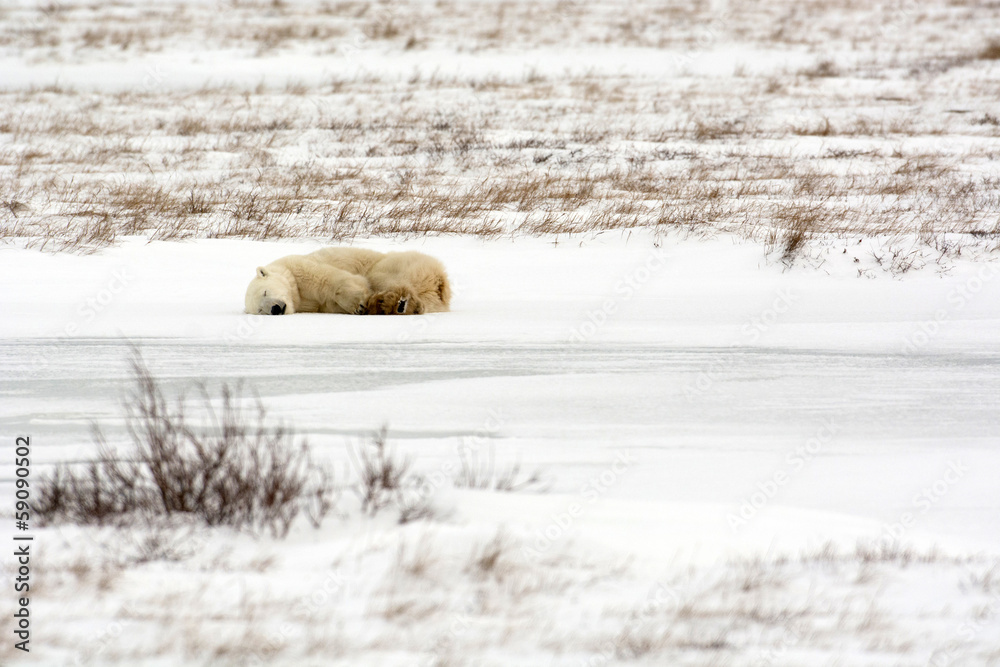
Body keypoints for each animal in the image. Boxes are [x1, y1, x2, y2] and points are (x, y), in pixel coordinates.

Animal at [246, 248, 454, 316]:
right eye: (260, 310)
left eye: (265, 292)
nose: (274, 309)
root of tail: (440, 277)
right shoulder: (316, 305)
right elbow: (330, 304)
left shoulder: (299, 268)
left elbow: (330, 279)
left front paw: (358, 305)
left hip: (399, 264)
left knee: (380, 277)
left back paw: (393, 302)